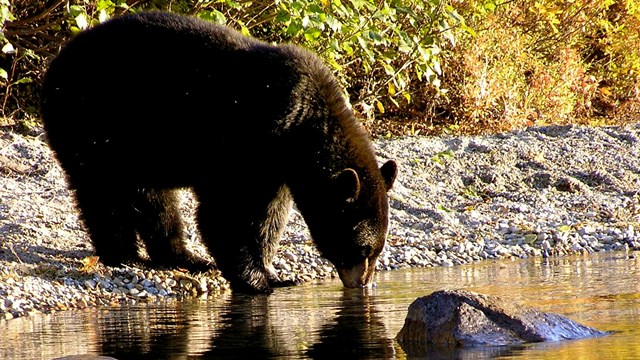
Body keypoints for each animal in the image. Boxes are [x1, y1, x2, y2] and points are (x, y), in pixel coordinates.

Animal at [40, 11, 396, 294]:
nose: (364, 284)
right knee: (102, 192)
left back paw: (185, 257)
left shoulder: (278, 166)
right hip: (92, 122)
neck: (303, 125)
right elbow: (224, 210)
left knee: (154, 199)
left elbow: (269, 217)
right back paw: (124, 255)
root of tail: (56, 63)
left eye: (377, 250)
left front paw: (274, 272)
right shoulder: (249, 137)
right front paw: (256, 280)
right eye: (362, 249)